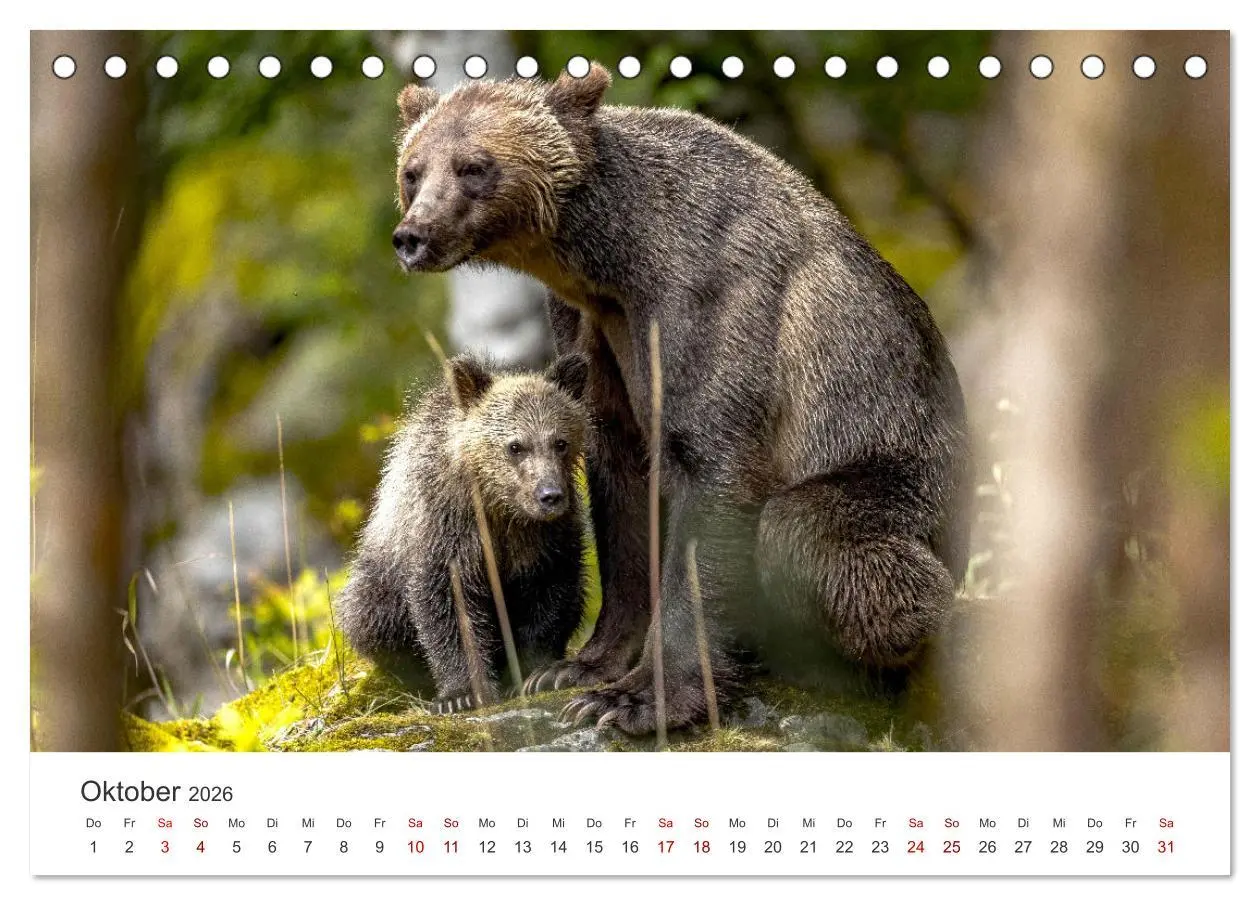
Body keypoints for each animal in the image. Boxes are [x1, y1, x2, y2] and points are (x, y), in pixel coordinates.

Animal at [336, 352, 591, 713]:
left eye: (560, 442)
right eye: (516, 446)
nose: (550, 495)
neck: (500, 510)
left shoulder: (547, 540)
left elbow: (551, 597)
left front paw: (535, 673)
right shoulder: (448, 533)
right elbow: (449, 609)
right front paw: (460, 694)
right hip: (379, 581)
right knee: (371, 620)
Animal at [387, 63, 971, 733]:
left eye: (473, 166)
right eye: (413, 170)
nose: (412, 236)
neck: (613, 262)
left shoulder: (706, 305)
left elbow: (710, 472)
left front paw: (638, 700)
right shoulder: (592, 329)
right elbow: (623, 481)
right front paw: (579, 668)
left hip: (904, 480)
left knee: (810, 533)